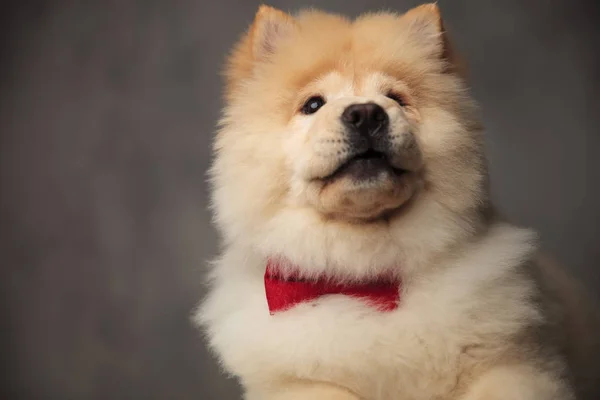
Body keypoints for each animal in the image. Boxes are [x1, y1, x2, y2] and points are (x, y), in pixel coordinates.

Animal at [195, 3, 596, 400]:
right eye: (312, 104)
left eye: (396, 99)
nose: (365, 113)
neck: (368, 277)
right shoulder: (302, 385)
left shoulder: (515, 365)